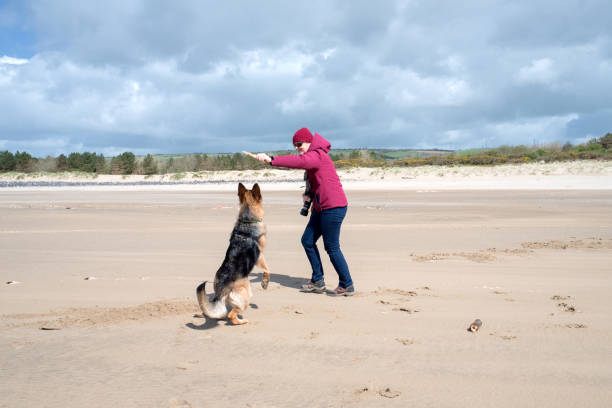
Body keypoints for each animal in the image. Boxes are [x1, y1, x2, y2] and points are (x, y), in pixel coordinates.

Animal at [196, 183, 270, 324]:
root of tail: (221, 289)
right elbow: (267, 269)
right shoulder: (260, 256)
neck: (247, 220)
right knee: (231, 315)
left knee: (223, 313)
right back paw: (242, 321)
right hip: (246, 294)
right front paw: (265, 282)